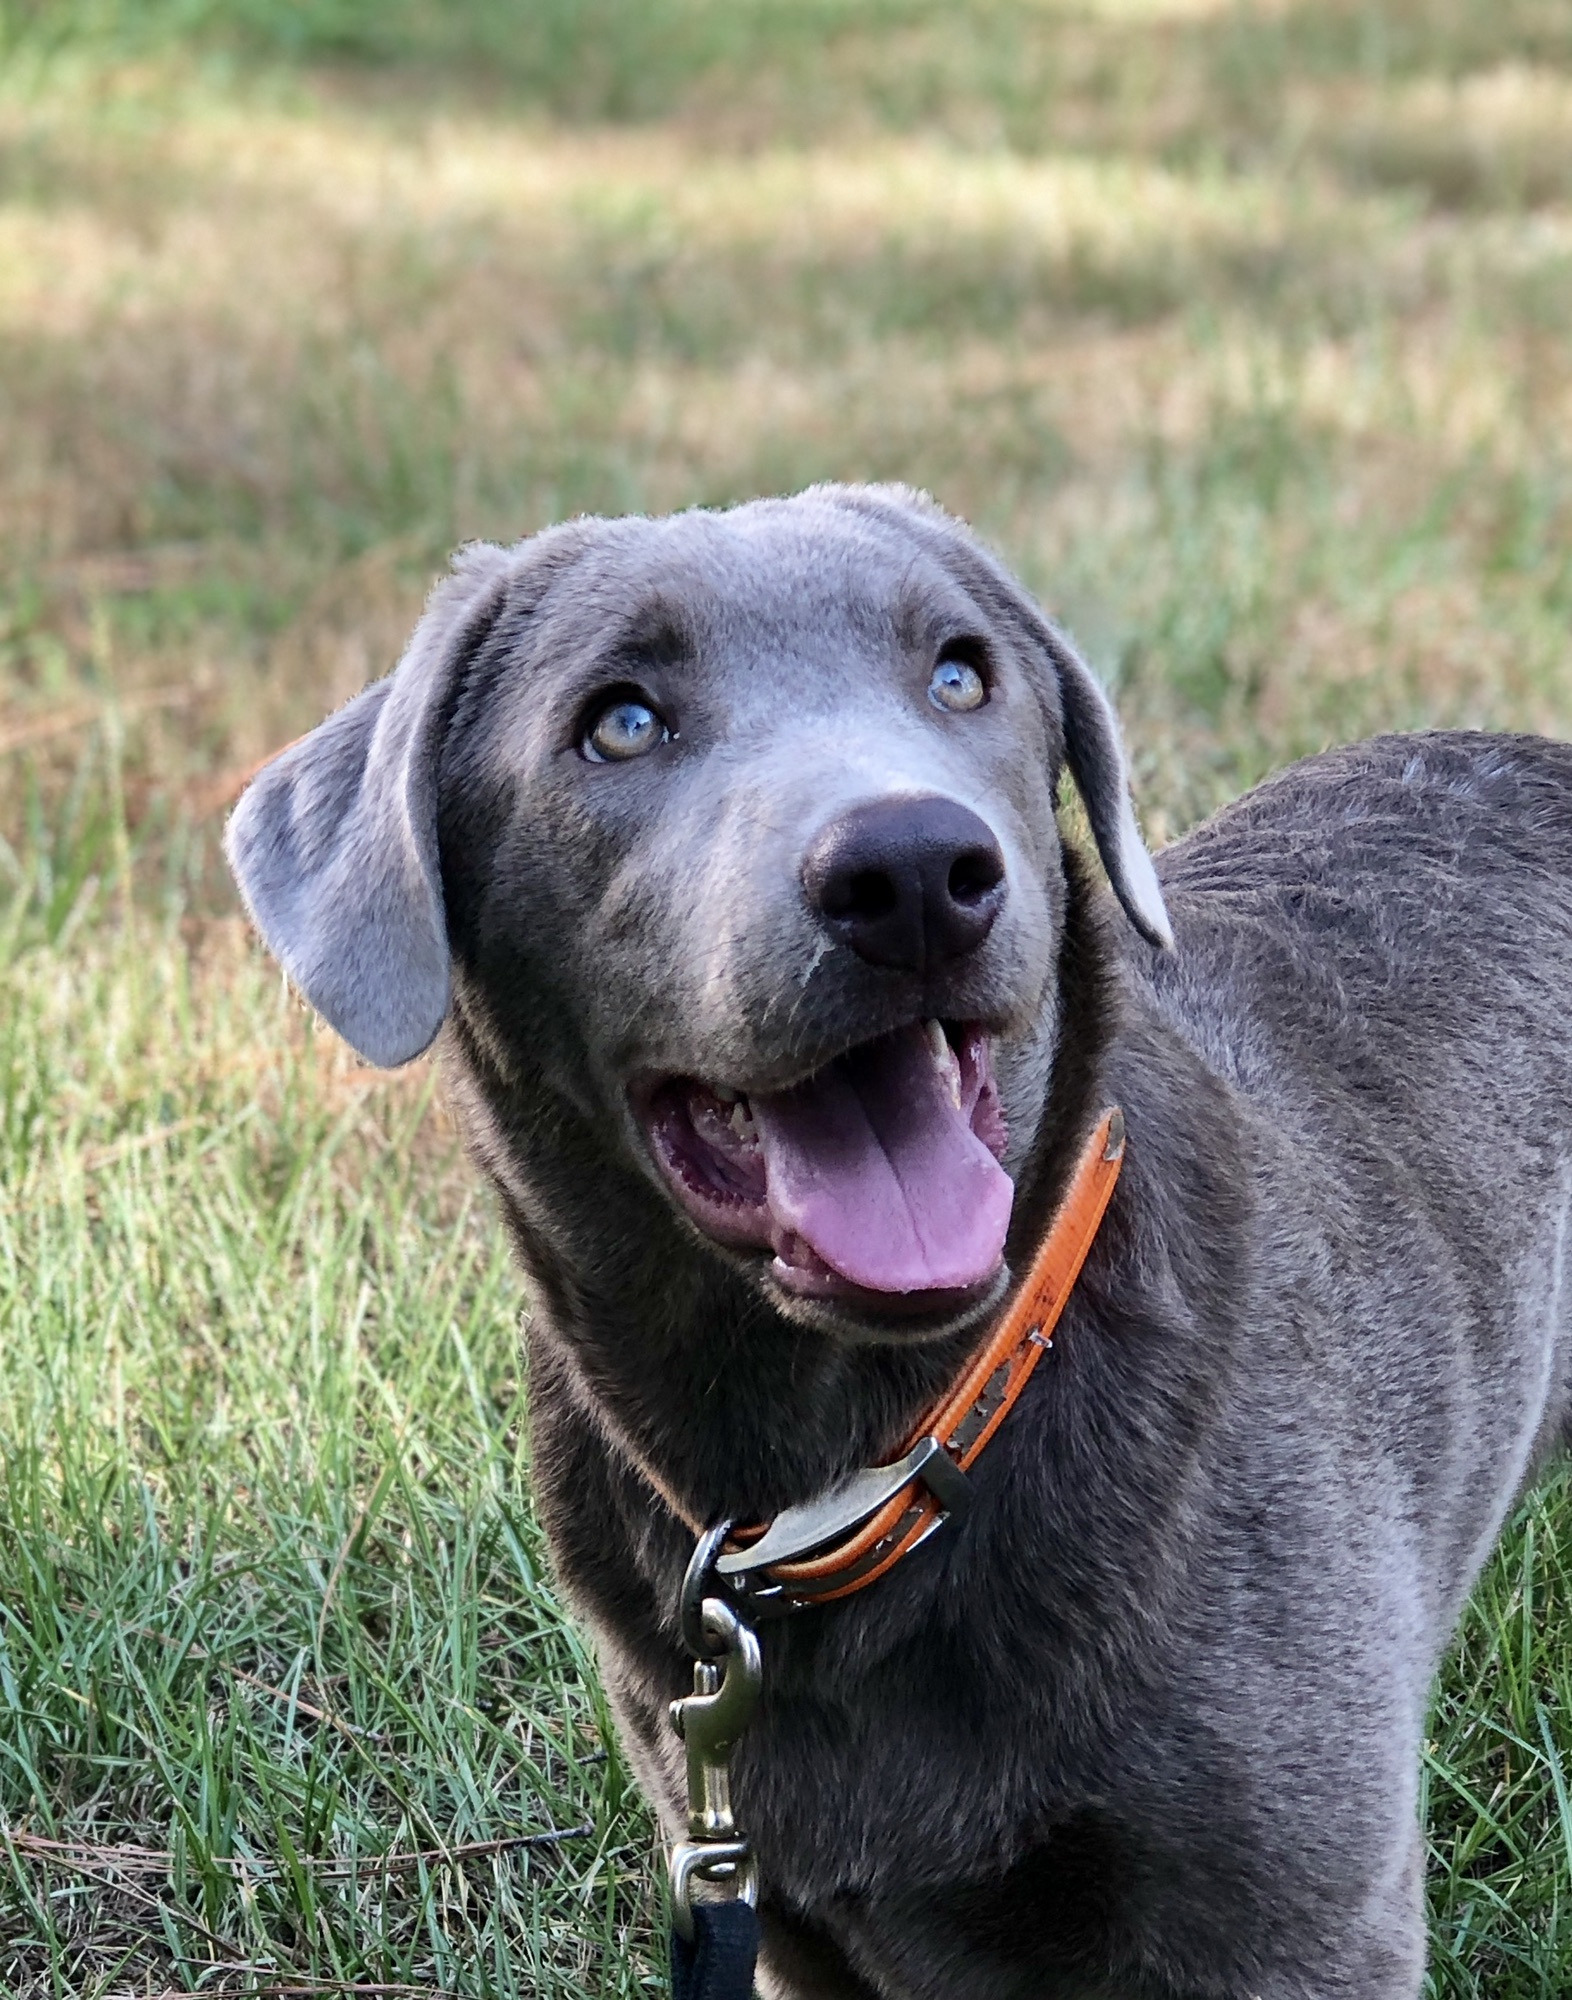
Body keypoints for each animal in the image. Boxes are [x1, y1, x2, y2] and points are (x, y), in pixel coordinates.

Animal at [230, 488, 1568, 2000]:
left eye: (961, 675)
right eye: (619, 721)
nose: (916, 869)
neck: (887, 1447)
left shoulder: (1301, 1923)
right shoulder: (779, 1913)